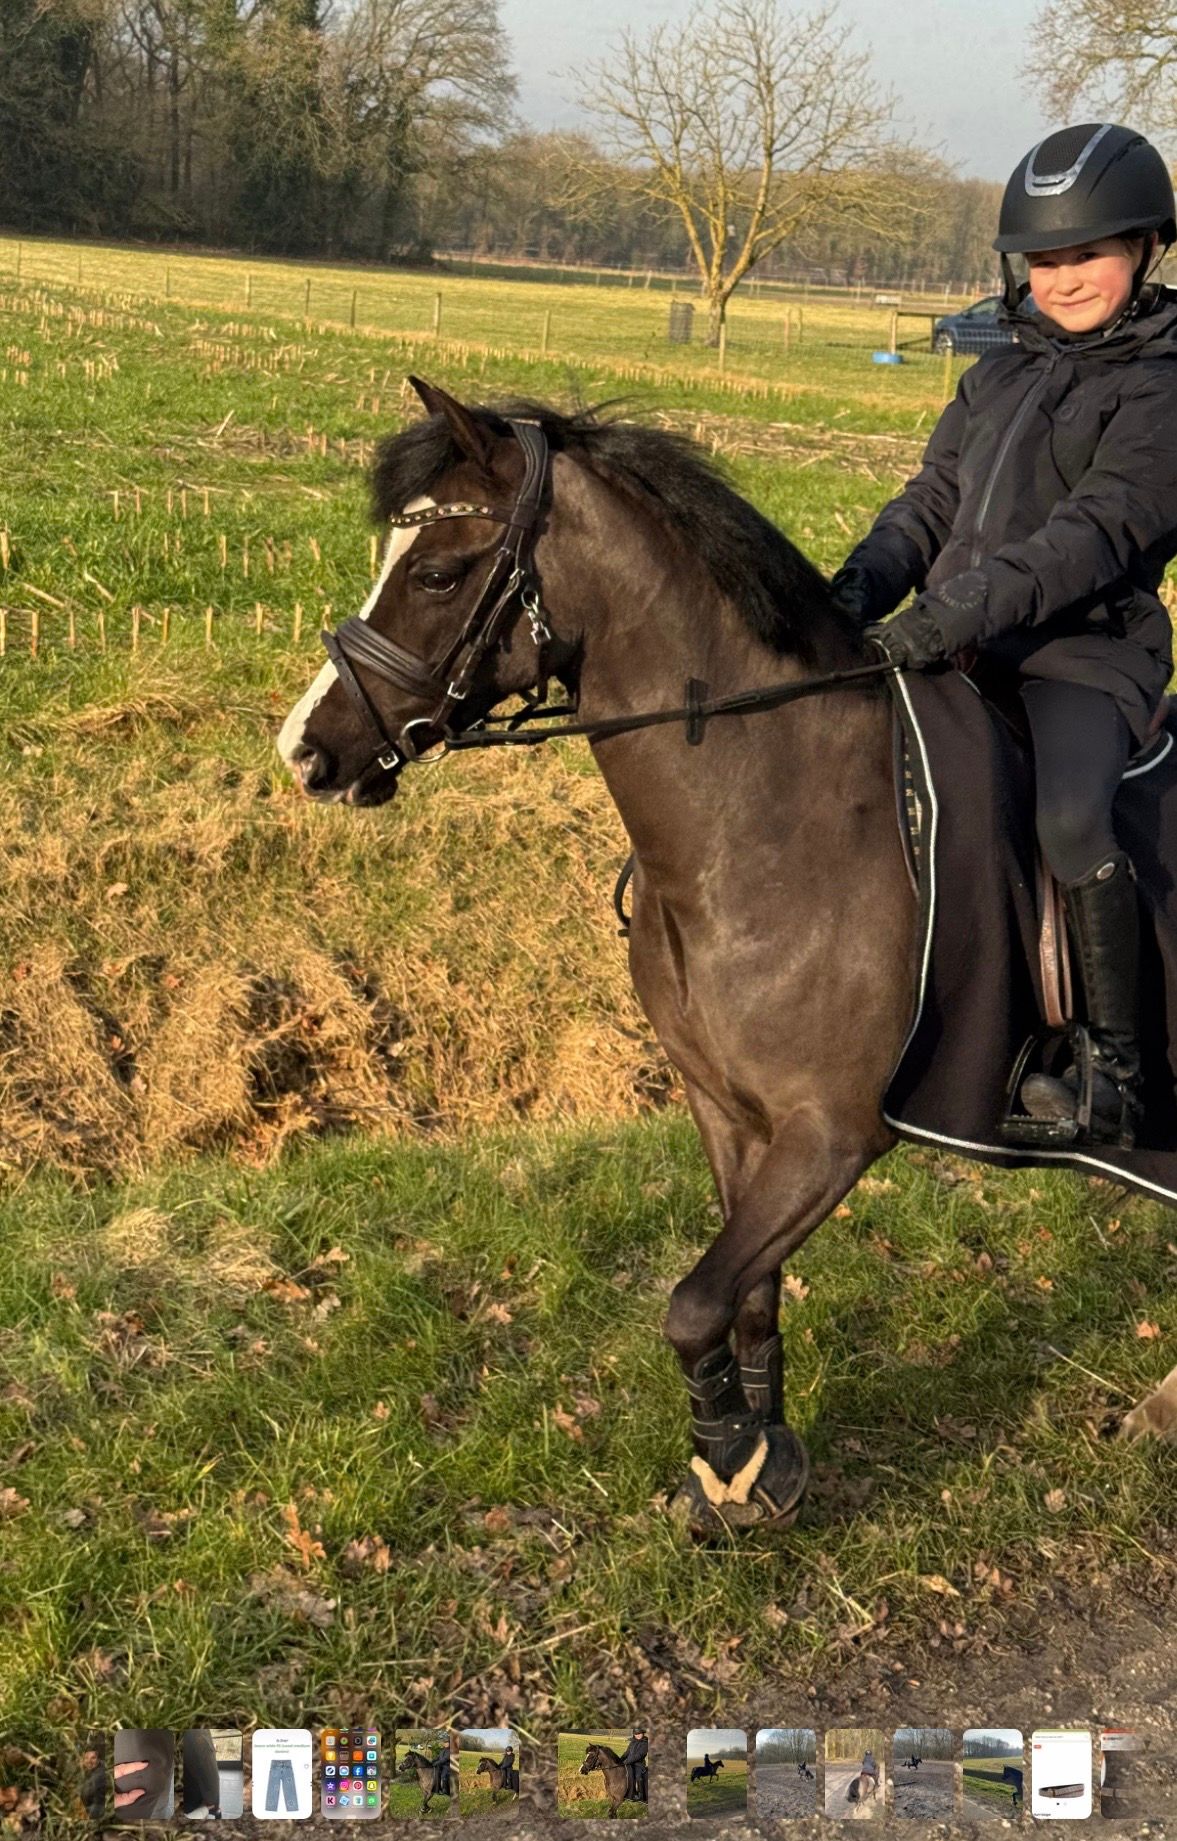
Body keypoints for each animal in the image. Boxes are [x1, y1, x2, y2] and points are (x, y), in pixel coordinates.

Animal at [276, 380, 1177, 1534]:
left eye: (435, 571)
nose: (305, 750)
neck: (766, 820)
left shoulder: (832, 1134)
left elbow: (690, 1299)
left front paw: (734, 1458)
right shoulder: (728, 1110)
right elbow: (741, 1295)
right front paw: (752, 1456)